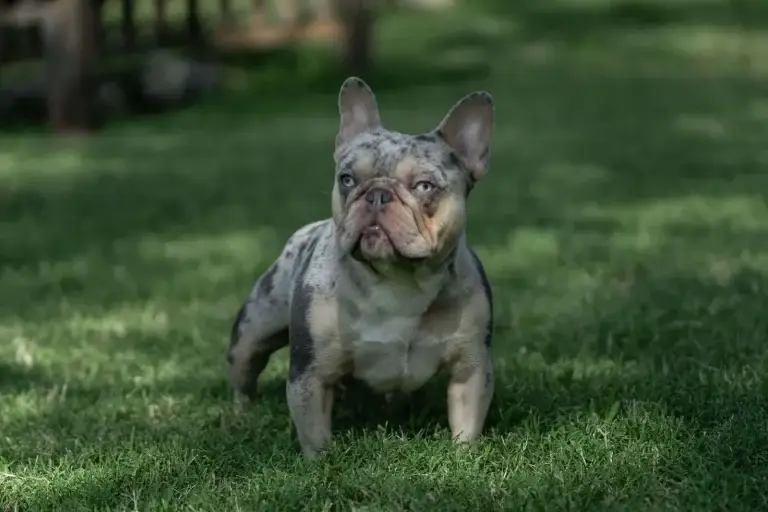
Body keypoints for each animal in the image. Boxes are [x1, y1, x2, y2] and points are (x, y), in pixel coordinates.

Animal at [225, 77, 496, 460]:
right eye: (348, 179)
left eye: (424, 186)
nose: (377, 194)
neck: (397, 280)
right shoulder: (311, 373)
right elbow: (314, 431)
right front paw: (321, 464)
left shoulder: (470, 366)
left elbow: (467, 419)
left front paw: (464, 457)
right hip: (252, 332)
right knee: (244, 372)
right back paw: (240, 414)